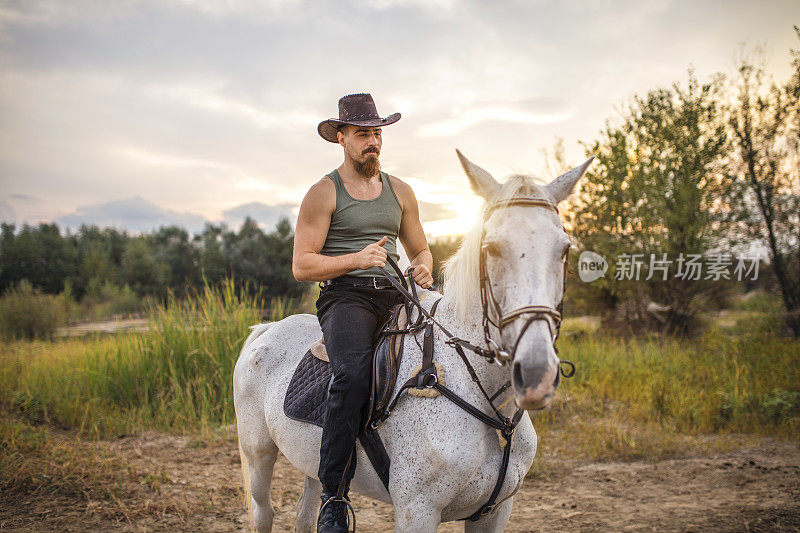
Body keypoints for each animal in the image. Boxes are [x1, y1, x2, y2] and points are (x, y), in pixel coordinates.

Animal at [233, 151, 592, 532]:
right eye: (492, 248)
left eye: (564, 249)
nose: (537, 373)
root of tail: (268, 328)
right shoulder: (416, 511)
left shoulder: (496, 511)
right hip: (257, 454)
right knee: (263, 512)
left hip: (309, 460)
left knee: (306, 511)